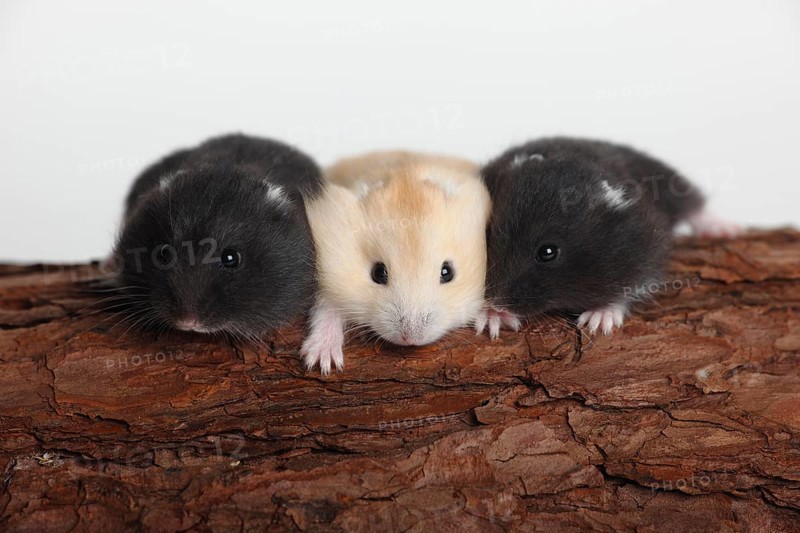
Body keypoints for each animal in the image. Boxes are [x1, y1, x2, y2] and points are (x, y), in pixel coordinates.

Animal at [301, 151, 492, 375]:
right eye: (378, 273)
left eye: (447, 272)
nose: (411, 338)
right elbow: (326, 308)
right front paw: (322, 363)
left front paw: (491, 323)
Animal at [480, 137, 740, 337]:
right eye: (487, 234)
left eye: (548, 252)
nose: (497, 302)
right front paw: (492, 319)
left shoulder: (645, 250)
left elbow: (628, 289)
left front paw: (598, 320)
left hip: (669, 180)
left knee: (693, 203)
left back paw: (722, 229)